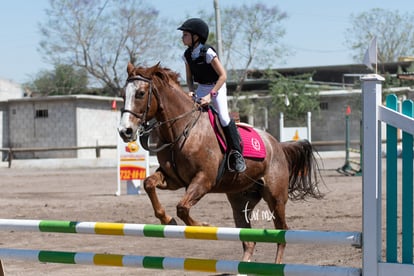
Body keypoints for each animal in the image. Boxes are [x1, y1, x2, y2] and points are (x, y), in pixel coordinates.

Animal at [117, 61, 324, 264]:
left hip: (276, 197)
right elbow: (149, 183)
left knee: (282, 232)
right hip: (240, 200)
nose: (125, 131)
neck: (182, 129)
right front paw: (167, 220)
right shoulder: (173, 179)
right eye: (123, 95)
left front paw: (202, 225)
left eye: (140, 93)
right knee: (249, 240)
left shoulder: (204, 180)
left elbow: (182, 208)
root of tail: (277, 145)